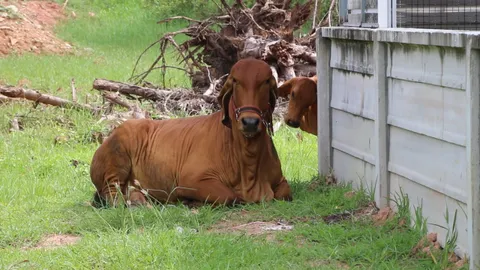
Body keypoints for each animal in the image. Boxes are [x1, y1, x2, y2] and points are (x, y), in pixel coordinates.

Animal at [90, 58, 292, 208]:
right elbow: (230, 196)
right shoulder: (191, 180)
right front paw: (190, 201)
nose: (250, 122)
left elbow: (285, 193)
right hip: (116, 164)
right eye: (235, 81)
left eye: (265, 82)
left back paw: (140, 200)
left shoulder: (281, 182)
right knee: (113, 195)